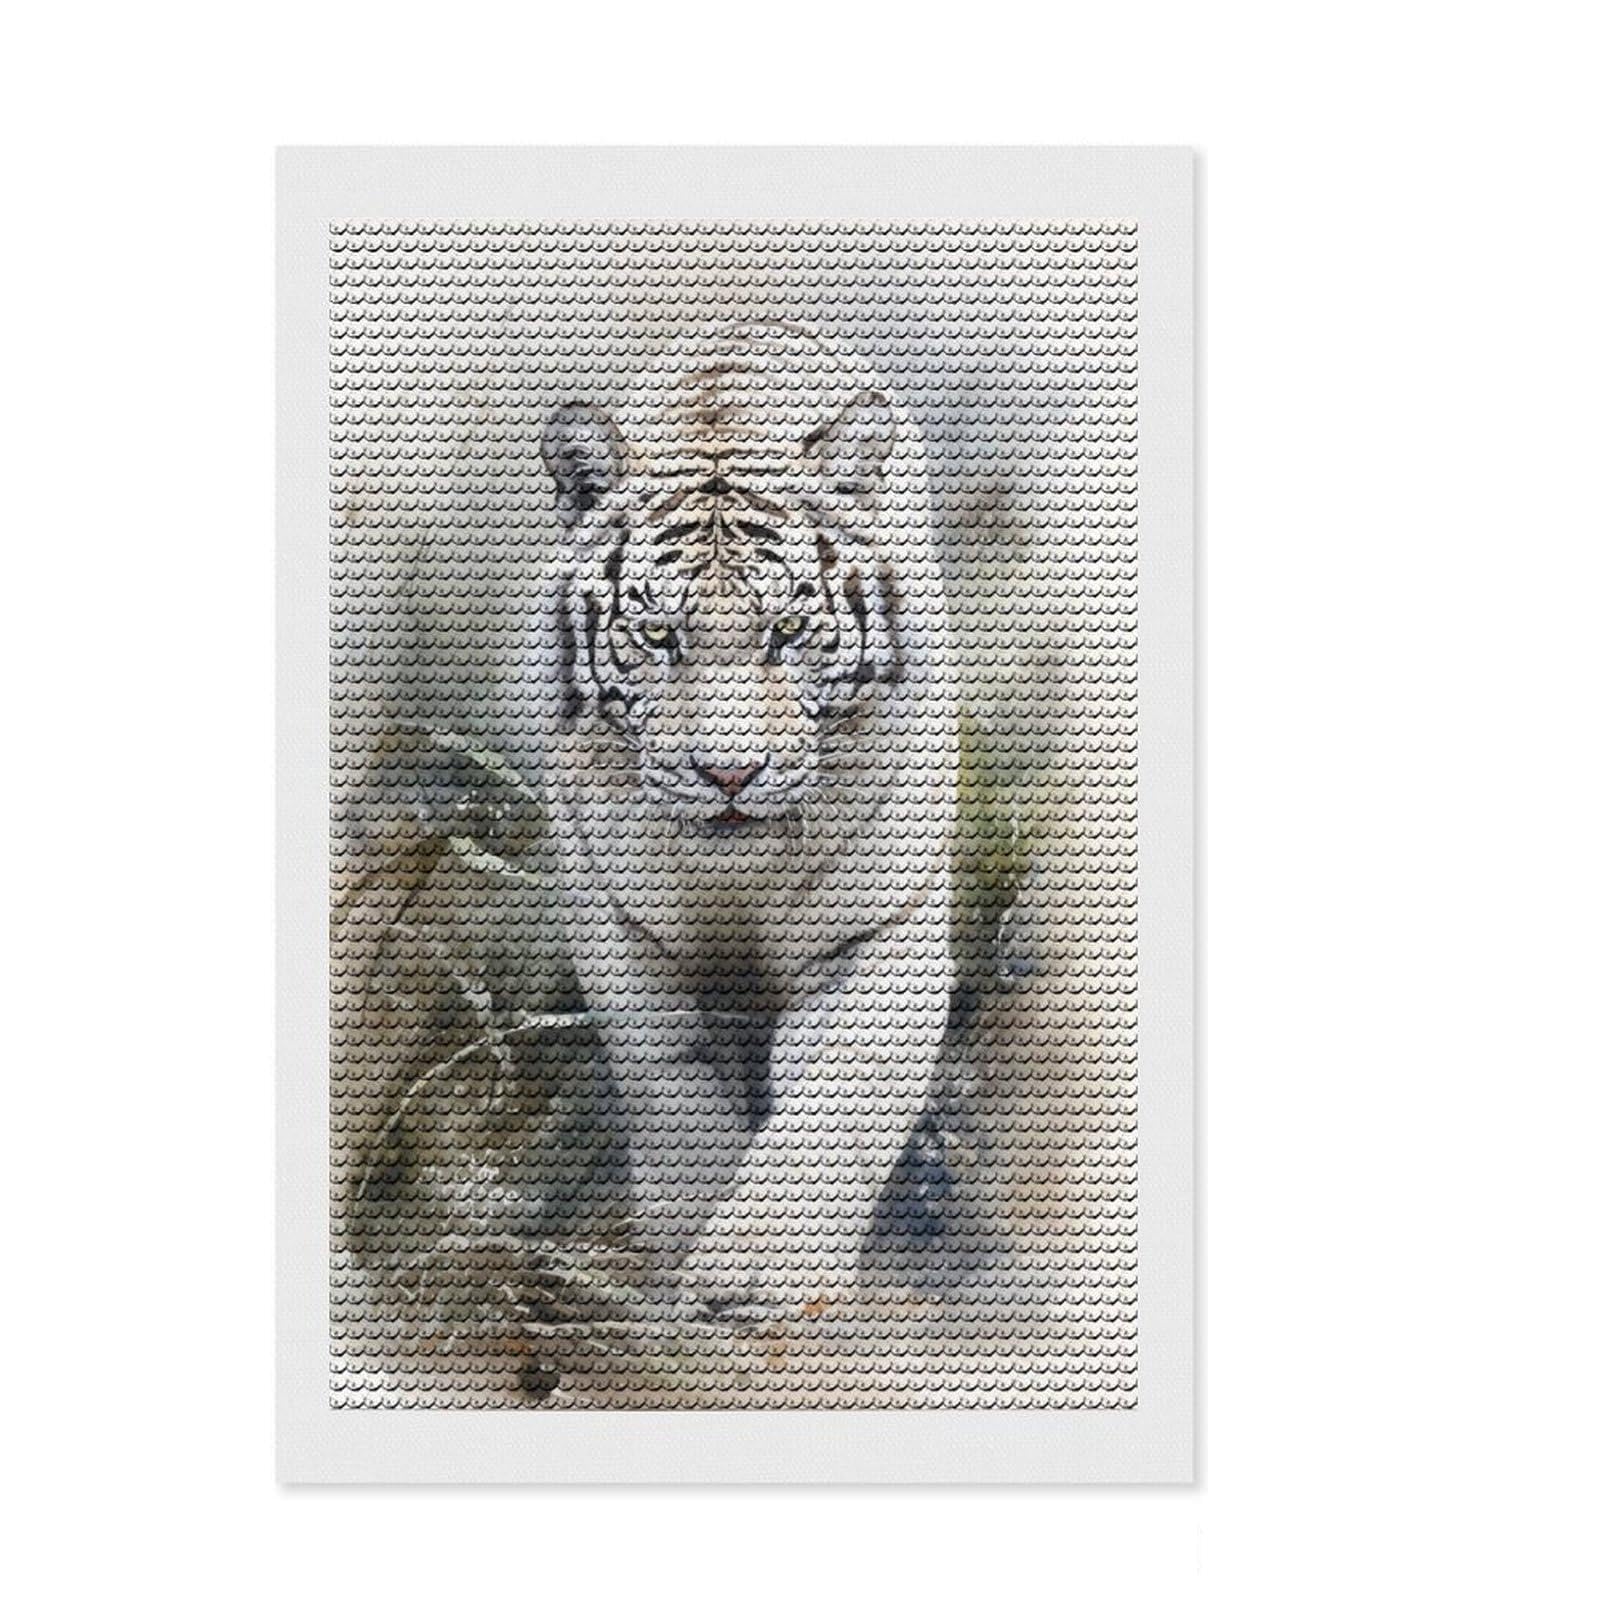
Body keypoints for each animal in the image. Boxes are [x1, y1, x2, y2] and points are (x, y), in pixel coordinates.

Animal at [534, 321, 956, 1323]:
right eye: (658, 636)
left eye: (787, 632)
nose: (729, 772)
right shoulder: (616, 924)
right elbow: (668, 1079)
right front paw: (683, 1241)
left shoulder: (880, 932)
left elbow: (837, 1099)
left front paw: (755, 1278)